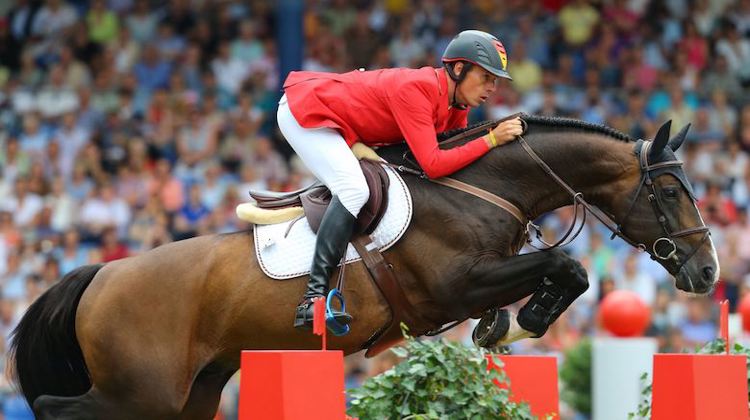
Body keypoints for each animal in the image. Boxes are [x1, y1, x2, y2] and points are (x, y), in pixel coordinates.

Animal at [10, 115, 716, 420]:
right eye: (669, 189)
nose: (709, 272)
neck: (481, 187)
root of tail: (100, 275)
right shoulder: (453, 286)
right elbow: (567, 265)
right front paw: (525, 321)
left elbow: (559, 270)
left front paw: (505, 326)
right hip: (142, 391)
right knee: (52, 404)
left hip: (194, 391)